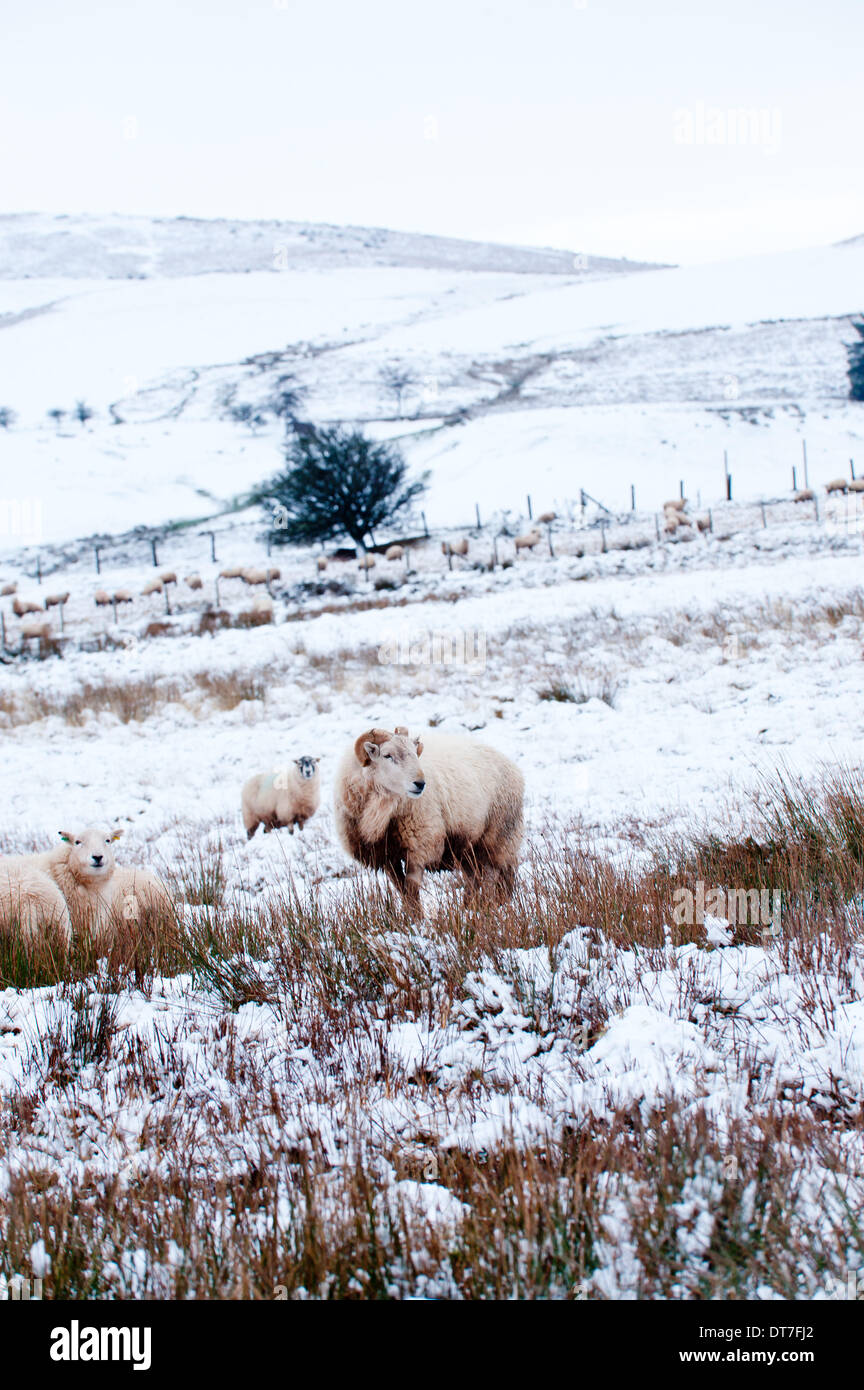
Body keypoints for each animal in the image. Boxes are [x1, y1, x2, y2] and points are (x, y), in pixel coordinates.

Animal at [334, 728, 525, 911]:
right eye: (387, 755)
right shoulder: (386, 856)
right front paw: (409, 916)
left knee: (491, 876)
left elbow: (411, 888)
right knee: (474, 878)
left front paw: (416, 918)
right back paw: (469, 908)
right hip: (468, 847)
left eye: (414, 752)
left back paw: (487, 906)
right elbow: (401, 888)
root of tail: (511, 764)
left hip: (497, 837)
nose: (420, 784)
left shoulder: (420, 847)